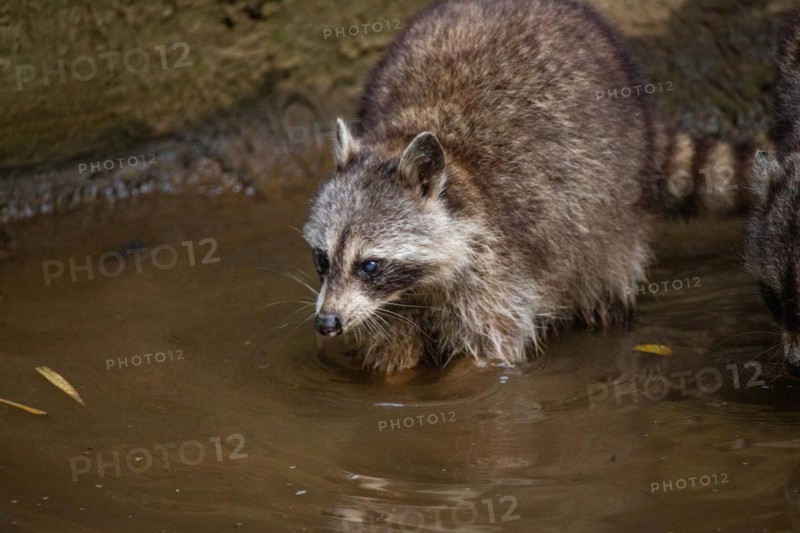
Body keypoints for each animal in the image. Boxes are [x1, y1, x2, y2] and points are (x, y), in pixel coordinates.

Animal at [303, 0, 754, 373]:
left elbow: (489, 357)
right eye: (322, 259)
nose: (326, 323)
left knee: (606, 277)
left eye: (370, 264)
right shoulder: (389, 306)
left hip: (612, 208)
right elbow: (393, 358)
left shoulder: (494, 265)